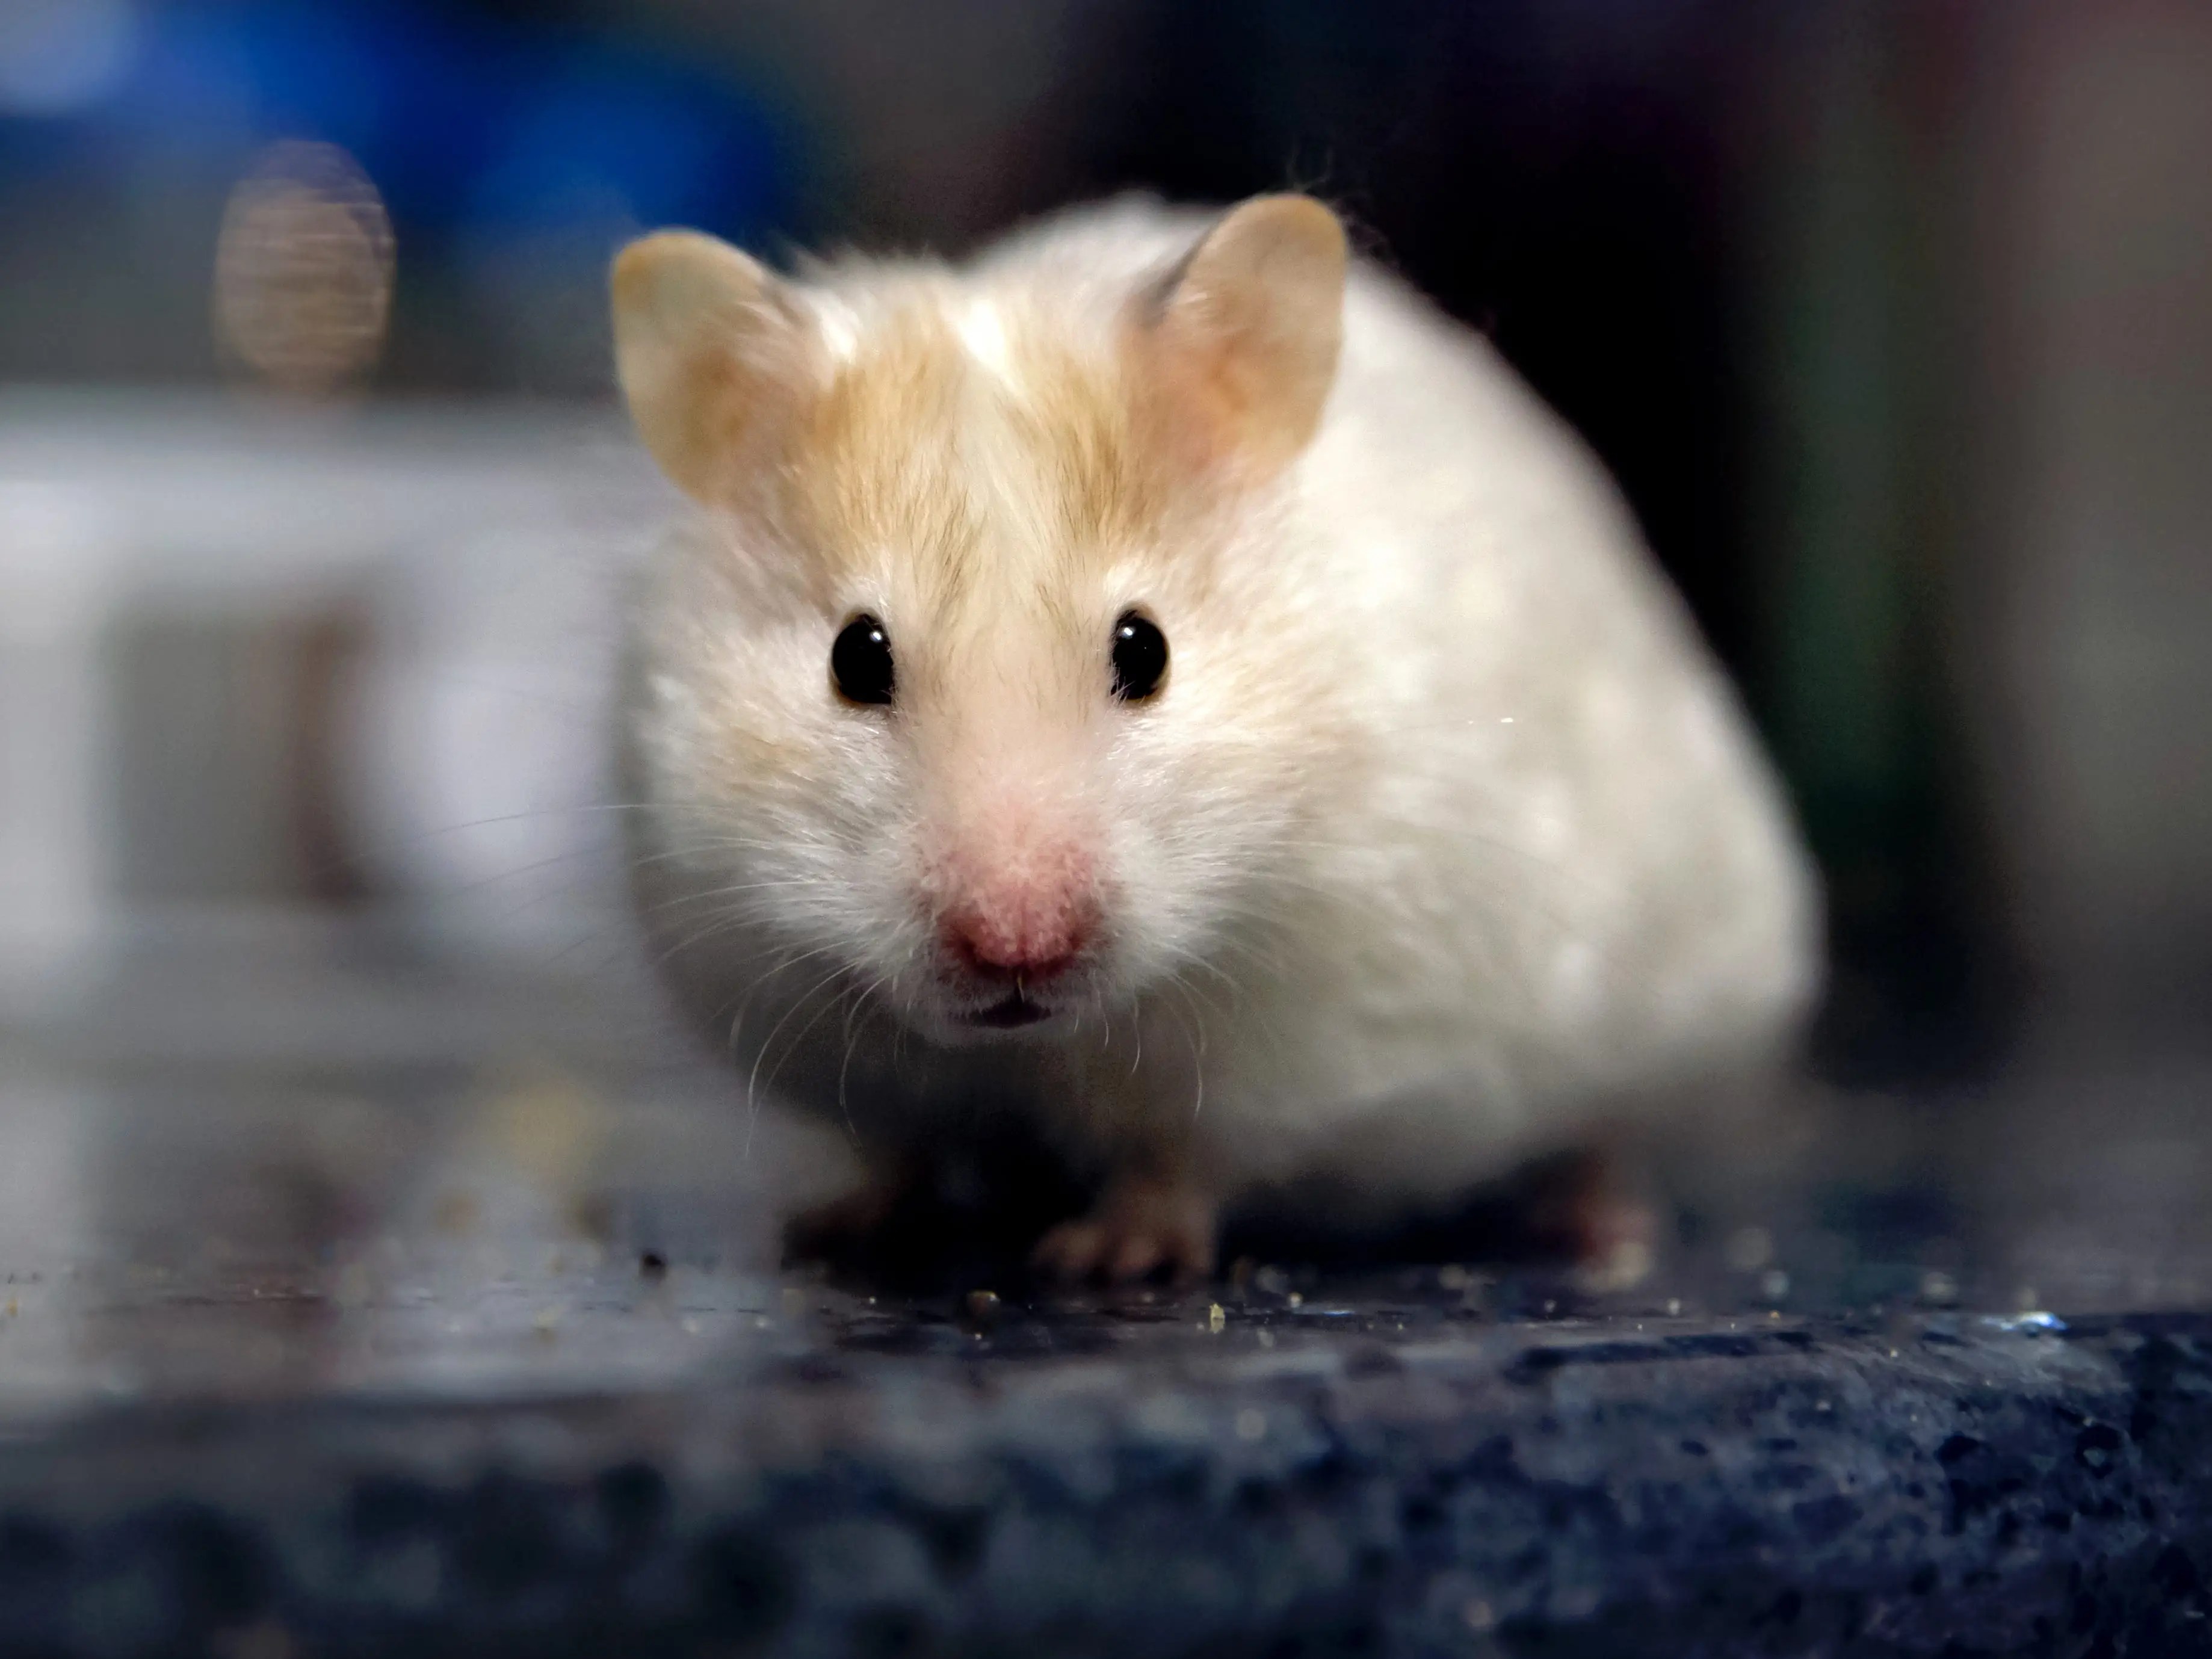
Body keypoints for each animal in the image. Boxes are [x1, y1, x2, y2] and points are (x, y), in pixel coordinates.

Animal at [609, 193, 1820, 1283]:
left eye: (1145, 650)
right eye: (856, 659)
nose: (1017, 950)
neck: (1041, 1045)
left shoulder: (1299, 1048)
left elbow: (1185, 1158)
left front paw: (1105, 1260)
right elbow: (896, 1150)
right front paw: (831, 1228)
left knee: (1610, 1133)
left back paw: (1598, 1230)